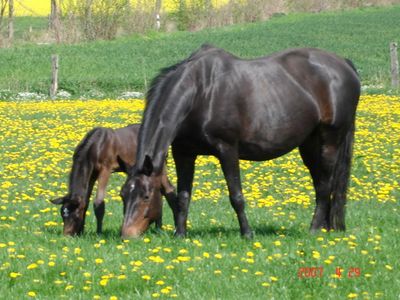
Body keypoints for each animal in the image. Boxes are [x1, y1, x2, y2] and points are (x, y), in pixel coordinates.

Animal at [120, 44, 360, 238]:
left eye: (146, 196)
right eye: (123, 195)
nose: (126, 235)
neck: (200, 92)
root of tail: (344, 64)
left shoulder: (227, 150)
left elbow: (236, 196)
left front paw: (247, 233)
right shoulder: (183, 153)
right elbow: (183, 196)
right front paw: (180, 234)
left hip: (330, 140)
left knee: (325, 184)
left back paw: (314, 229)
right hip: (309, 144)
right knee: (320, 183)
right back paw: (325, 228)